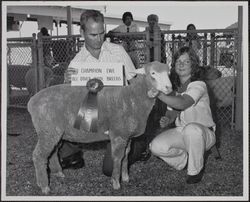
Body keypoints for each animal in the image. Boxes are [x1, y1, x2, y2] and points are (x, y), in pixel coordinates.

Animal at [27, 61, 172, 194]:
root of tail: (32, 101)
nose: (169, 87)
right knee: (39, 155)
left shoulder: (127, 135)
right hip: (47, 130)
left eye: (168, 72)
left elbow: (126, 155)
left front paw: (125, 177)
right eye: (153, 73)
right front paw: (116, 182)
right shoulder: (118, 134)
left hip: (56, 132)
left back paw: (58, 173)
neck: (133, 98)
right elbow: (118, 158)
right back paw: (44, 186)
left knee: (52, 152)